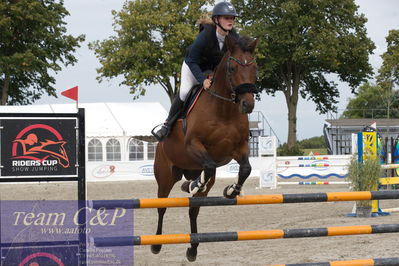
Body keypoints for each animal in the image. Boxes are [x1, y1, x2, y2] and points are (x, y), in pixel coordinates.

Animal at [152, 35, 260, 262]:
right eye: (232, 69)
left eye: (255, 68)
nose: (248, 105)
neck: (224, 109)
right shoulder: (193, 145)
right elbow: (209, 166)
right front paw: (195, 185)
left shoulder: (237, 149)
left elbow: (245, 169)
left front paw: (231, 191)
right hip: (166, 175)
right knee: (161, 206)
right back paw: (156, 244)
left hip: (193, 175)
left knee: (194, 209)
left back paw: (193, 248)